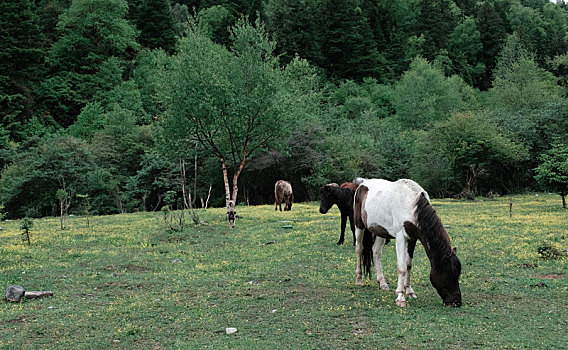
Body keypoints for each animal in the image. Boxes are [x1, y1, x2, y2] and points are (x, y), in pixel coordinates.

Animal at [352, 179, 464, 308]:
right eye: (448, 273)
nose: (456, 302)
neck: (413, 205)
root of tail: (362, 184)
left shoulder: (413, 239)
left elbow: (408, 265)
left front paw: (409, 291)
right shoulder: (401, 237)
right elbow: (402, 267)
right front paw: (400, 297)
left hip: (380, 231)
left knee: (376, 252)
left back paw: (382, 283)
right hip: (359, 225)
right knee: (359, 249)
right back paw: (359, 279)